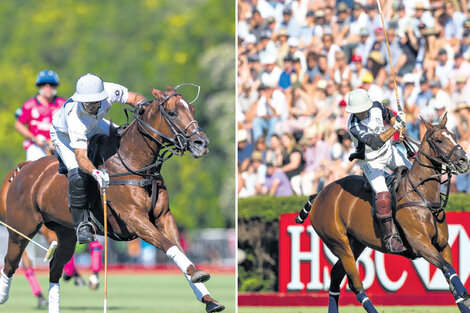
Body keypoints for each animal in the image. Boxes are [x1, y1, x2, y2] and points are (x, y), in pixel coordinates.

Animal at [0, 85, 226, 312]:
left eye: (192, 110)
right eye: (171, 113)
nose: (201, 143)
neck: (135, 163)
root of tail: (23, 169)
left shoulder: (164, 216)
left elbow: (179, 250)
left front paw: (209, 299)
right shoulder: (135, 218)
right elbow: (168, 246)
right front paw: (198, 275)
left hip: (66, 233)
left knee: (55, 268)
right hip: (21, 229)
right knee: (11, 263)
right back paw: (6, 296)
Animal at [296, 115, 470, 312]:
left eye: (454, 136)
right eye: (439, 140)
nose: (464, 161)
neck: (422, 197)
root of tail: (319, 194)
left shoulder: (442, 245)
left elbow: (450, 276)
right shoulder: (420, 244)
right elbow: (448, 268)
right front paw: (465, 295)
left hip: (355, 244)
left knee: (335, 276)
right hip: (338, 244)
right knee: (355, 284)